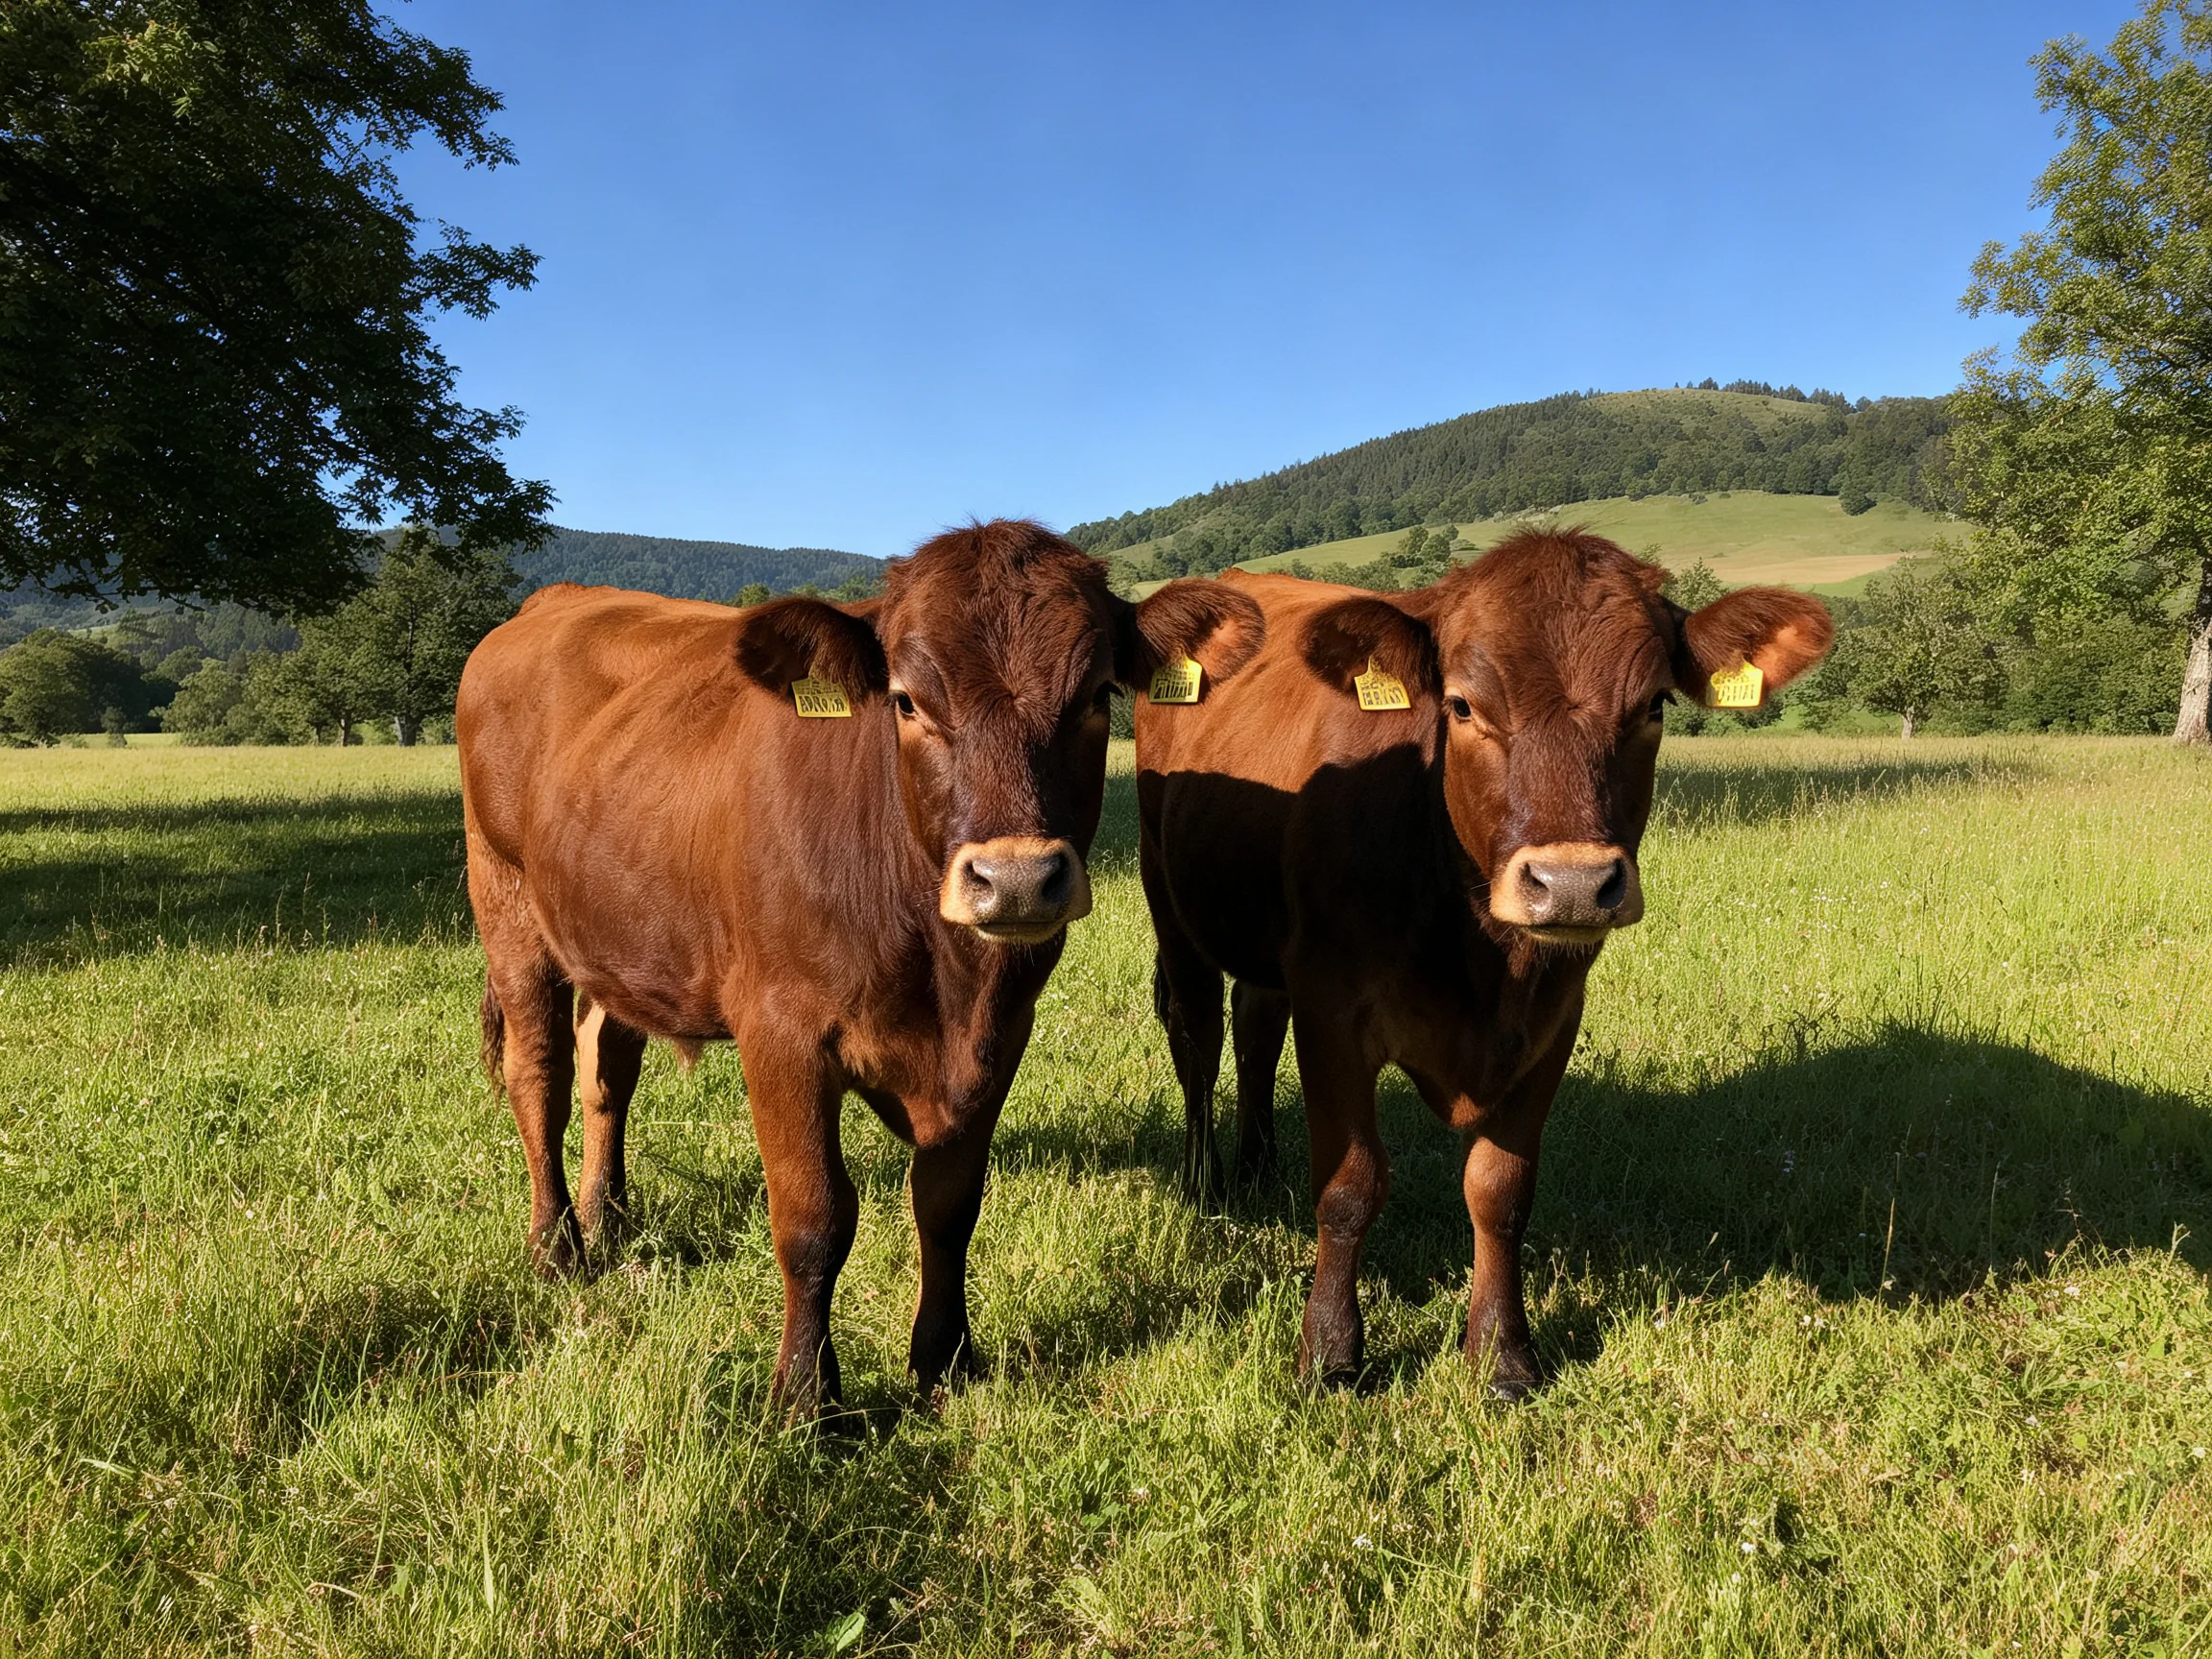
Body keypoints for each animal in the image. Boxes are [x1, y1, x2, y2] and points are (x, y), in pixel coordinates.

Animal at [458, 519, 1262, 1413]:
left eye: (1095, 697)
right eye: (907, 701)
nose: (1017, 877)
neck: (944, 981)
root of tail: (550, 603)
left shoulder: (999, 1036)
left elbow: (949, 1204)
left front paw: (946, 1359)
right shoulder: (781, 1033)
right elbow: (815, 1219)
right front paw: (806, 1396)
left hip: (617, 936)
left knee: (607, 1065)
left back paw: (611, 1216)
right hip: (507, 904)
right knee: (541, 1076)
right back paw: (558, 1246)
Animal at [1135, 528, 1833, 1397]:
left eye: (1654, 706)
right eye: (1463, 705)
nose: (1573, 884)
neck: (1480, 958)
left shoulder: (1552, 1020)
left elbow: (1501, 1191)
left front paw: (1502, 1354)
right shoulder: (1332, 1010)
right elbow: (1350, 1185)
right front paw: (1330, 1354)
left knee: (1255, 1022)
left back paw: (1260, 1163)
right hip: (1168, 897)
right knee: (1196, 1035)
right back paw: (1206, 1182)